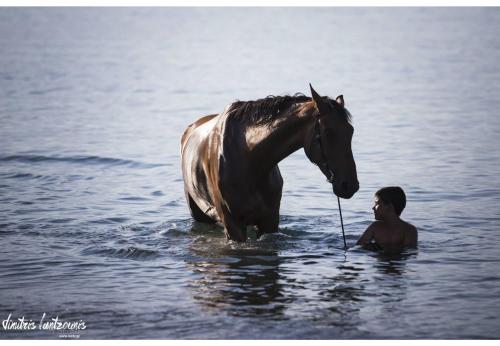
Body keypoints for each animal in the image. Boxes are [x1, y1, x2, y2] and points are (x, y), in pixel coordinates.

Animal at [182, 84, 358, 242]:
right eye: (328, 131)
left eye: (351, 131)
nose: (350, 186)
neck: (250, 159)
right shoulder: (233, 225)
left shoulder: (270, 221)